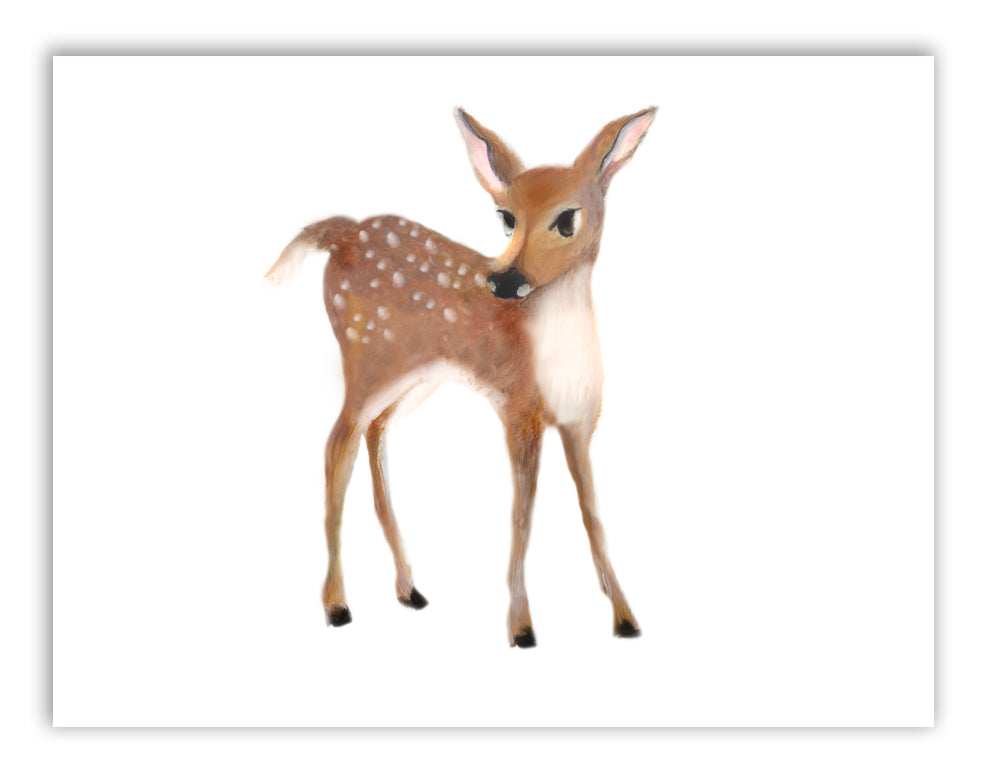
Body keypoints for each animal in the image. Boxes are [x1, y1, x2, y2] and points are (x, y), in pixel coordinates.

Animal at [265, 106, 657, 647]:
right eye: (506, 217)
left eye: (567, 219)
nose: (505, 281)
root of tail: (341, 232)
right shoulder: (519, 409)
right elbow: (522, 515)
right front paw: (521, 627)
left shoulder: (580, 422)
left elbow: (593, 515)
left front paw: (625, 617)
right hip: (368, 358)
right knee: (336, 444)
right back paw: (338, 605)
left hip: (415, 377)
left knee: (373, 432)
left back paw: (409, 588)